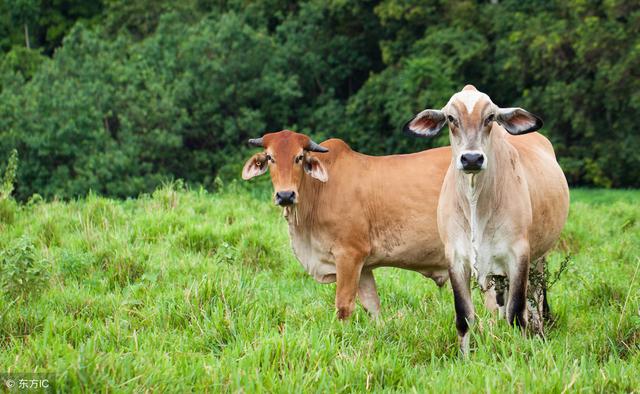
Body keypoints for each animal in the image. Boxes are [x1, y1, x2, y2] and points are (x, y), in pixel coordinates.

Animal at [241, 131, 450, 318]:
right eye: (270, 157)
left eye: (299, 157)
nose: (285, 195)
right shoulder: (364, 266)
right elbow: (372, 306)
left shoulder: (349, 254)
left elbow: (344, 306)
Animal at [404, 85, 568, 354]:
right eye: (451, 118)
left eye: (490, 117)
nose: (472, 159)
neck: (475, 204)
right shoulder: (455, 258)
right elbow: (464, 316)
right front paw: (464, 357)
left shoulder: (519, 254)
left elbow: (517, 313)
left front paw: (521, 354)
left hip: (539, 258)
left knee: (536, 300)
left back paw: (540, 333)